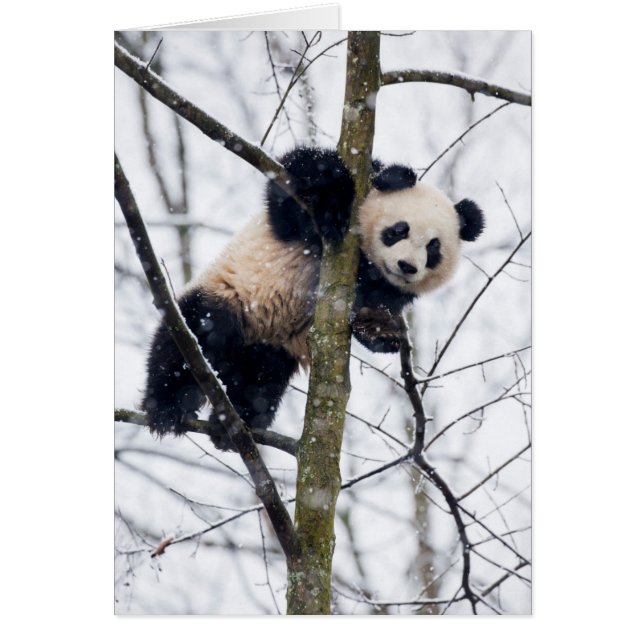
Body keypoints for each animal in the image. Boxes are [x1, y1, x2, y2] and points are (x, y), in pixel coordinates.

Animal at [142, 146, 484, 450]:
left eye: (433, 248)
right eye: (399, 230)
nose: (407, 266)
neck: (366, 262)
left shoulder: (386, 289)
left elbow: (372, 308)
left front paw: (381, 332)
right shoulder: (297, 219)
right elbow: (297, 181)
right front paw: (333, 208)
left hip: (271, 348)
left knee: (261, 381)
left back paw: (233, 425)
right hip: (230, 296)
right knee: (189, 339)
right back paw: (166, 409)